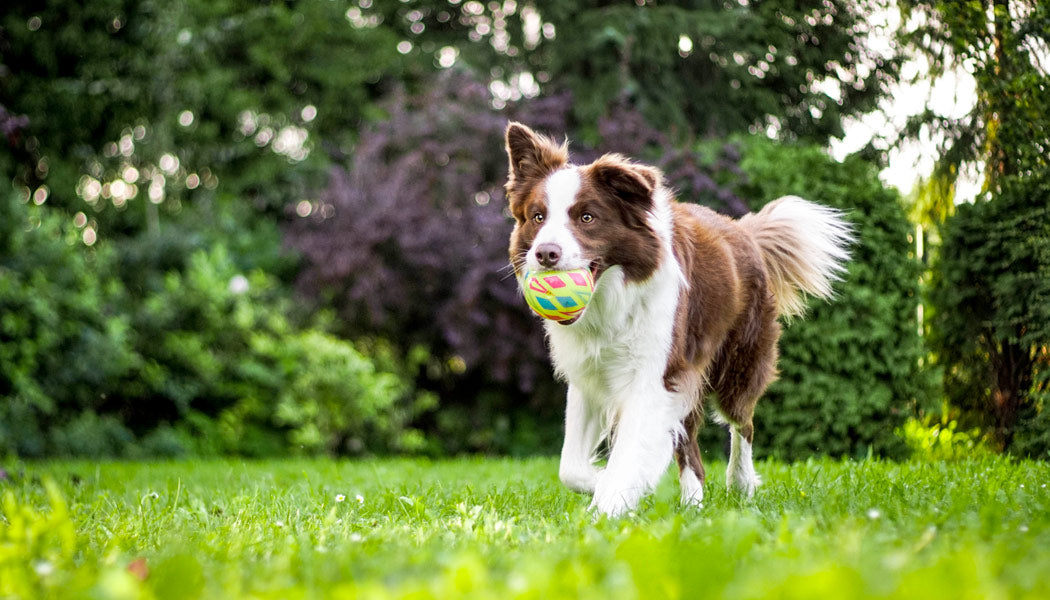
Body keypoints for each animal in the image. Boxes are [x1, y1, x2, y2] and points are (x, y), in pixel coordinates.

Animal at [501, 120, 852, 516]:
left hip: (738, 363)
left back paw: (741, 483)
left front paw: (610, 503)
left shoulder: (654, 374)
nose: (546, 253)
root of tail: (743, 230)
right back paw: (693, 503)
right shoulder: (590, 375)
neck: (611, 300)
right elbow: (570, 467)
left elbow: (629, 452)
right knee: (690, 446)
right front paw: (606, 484)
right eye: (538, 217)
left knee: (742, 422)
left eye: (587, 218)